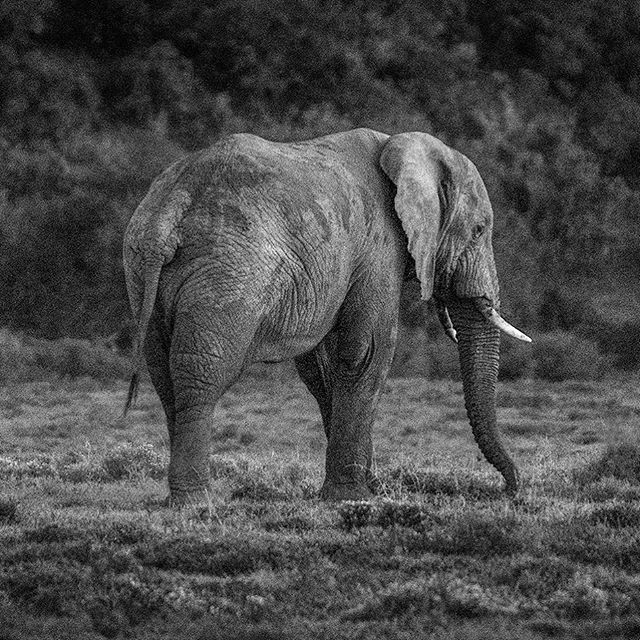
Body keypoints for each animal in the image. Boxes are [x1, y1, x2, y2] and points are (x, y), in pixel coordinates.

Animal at [121, 126, 528, 504]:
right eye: (478, 230)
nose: (509, 490)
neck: (399, 146)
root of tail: (169, 213)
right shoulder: (380, 246)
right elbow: (368, 352)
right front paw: (354, 496)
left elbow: (323, 367)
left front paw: (366, 488)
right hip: (228, 272)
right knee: (202, 374)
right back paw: (196, 501)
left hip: (141, 273)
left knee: (164, 375)